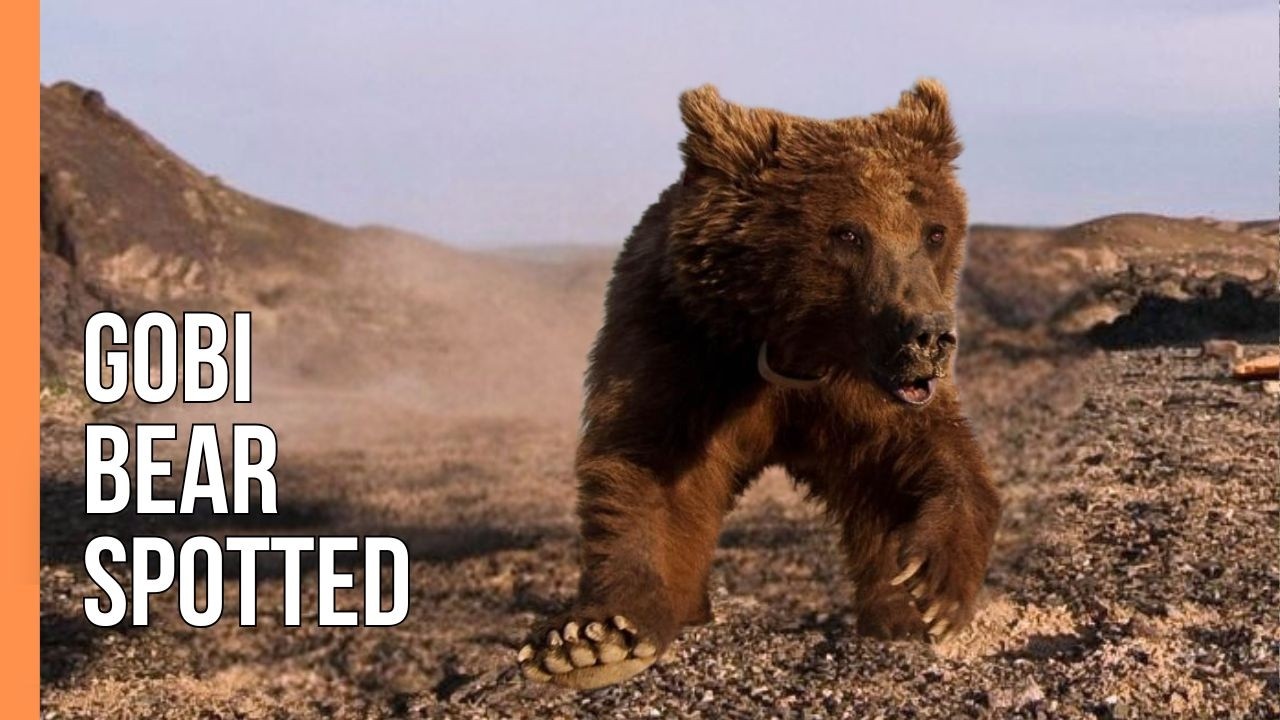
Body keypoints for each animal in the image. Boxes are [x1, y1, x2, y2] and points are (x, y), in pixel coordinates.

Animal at [517, 79, 1001, 690]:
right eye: (848, 233)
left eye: (934, 231)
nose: (930, 335)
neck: (793, 347)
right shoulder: (683, 347)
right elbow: (648, 470)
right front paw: (593, 641)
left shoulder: (864, 389)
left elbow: (917, 460)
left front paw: (931, 588)